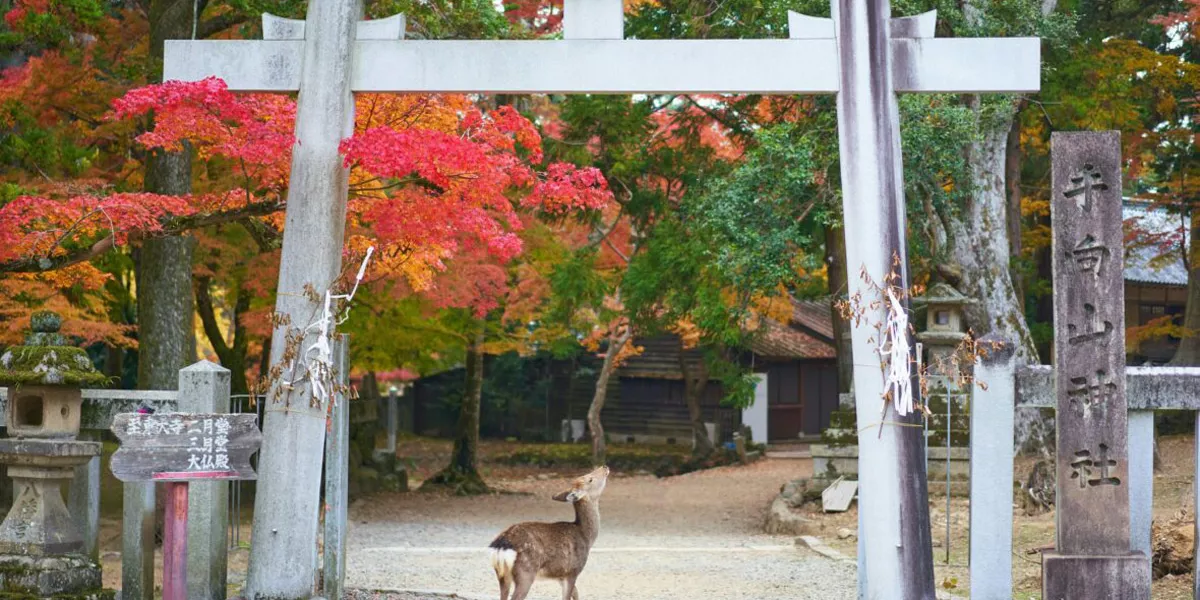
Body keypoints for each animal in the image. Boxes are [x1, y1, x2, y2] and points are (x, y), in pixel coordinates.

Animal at [488, 465, 610, 600]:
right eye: (590, 479)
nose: (604, 467)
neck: (586, 537)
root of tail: (501, 546)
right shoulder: (572, 570)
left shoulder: (559, 575)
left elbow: (576, 593)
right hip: (525, 572)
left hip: (502, 574)